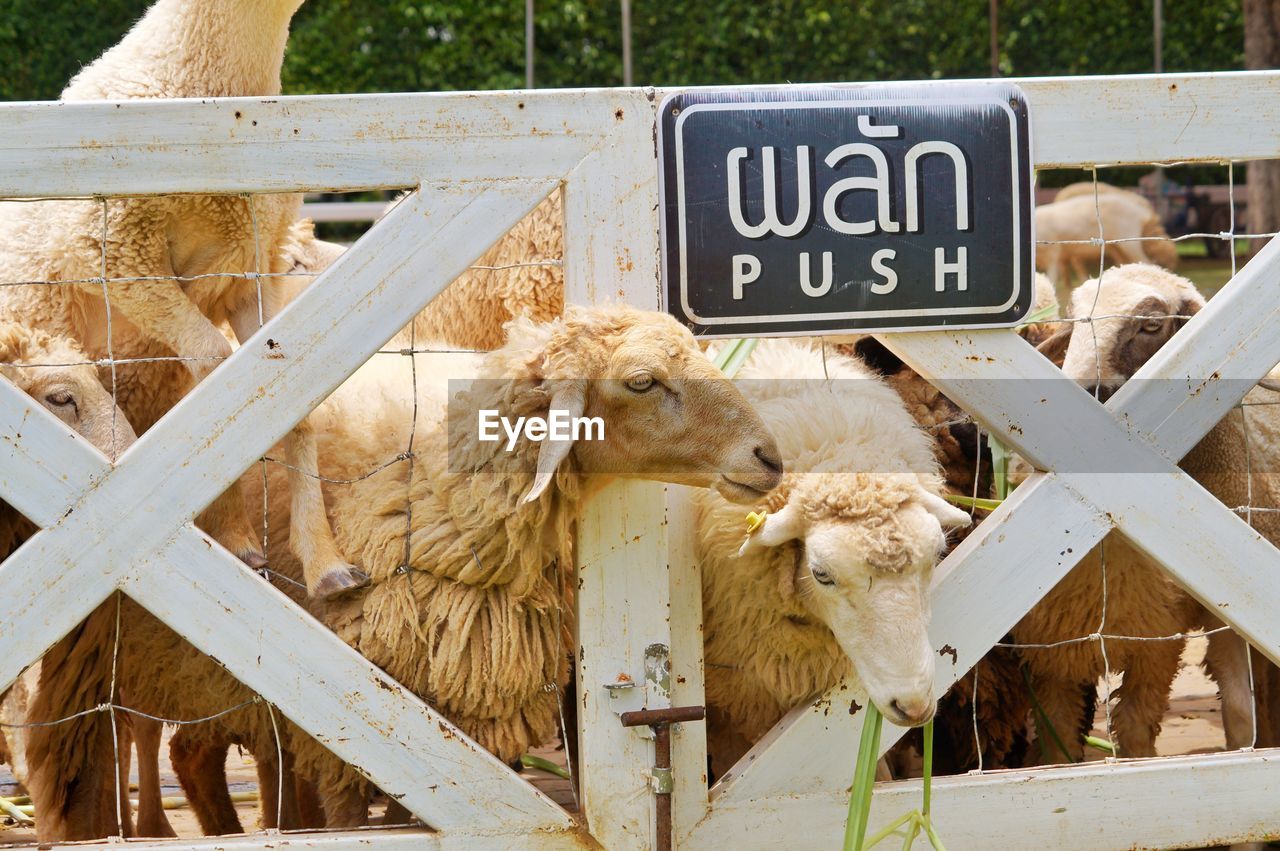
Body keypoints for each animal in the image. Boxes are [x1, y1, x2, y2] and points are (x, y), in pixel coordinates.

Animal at [1034, 188, 1172, 313]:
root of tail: (1141, 211)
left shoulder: (1053, 252)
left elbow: (1052, 278)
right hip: (1118, 246)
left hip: (1130, 239)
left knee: (1146, 262)